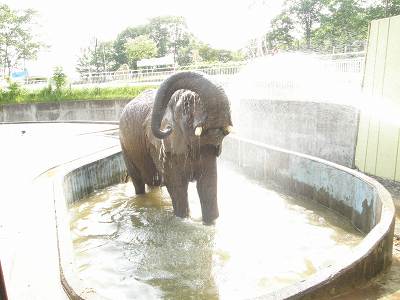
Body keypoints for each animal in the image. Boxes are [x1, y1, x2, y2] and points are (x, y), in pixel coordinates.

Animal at [118, 71, 231, 224]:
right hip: (125, 147)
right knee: (138, 181)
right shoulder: (160, 145)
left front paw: (210, 223)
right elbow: (177, 185)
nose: (168, 128)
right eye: (187, 104)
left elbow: (209, 182)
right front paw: (183, 220)